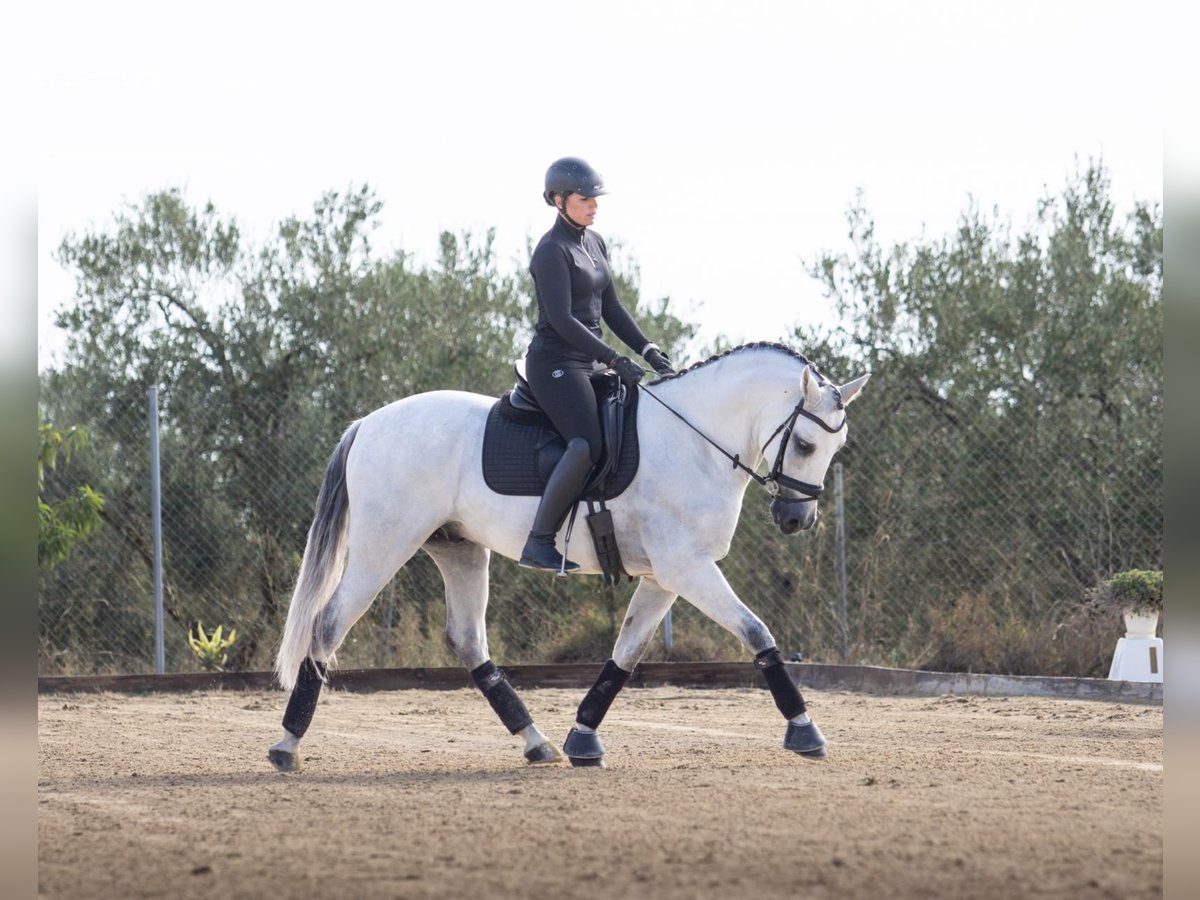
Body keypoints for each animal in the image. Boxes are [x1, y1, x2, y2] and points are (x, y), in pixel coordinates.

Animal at [271, 345, 868, 777]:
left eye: (835, 450)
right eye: (807, 444)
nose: (796, 519)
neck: (696, 441)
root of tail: (367, 424)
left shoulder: (666, 576)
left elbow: (626, 652)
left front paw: (583, 737)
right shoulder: (687, 567)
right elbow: (757, 631)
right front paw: (805, 729)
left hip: (459, 549)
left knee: (469, 641)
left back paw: (536, 743)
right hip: (383, 546)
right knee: (327, 628)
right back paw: (287, 745)